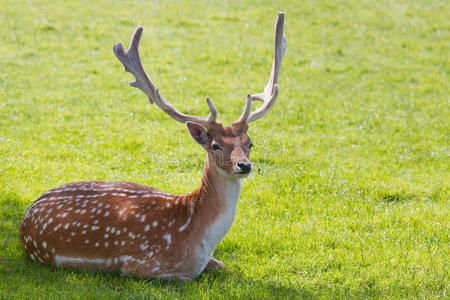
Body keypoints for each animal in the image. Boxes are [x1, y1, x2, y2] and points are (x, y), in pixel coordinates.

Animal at [19, 11, 286, 280]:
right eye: (215, 145)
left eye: (250, 143)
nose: (244, 166)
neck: (195, 236)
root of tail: (26, 215)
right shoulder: (141, 265)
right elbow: (185, 277)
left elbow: (222, 265)